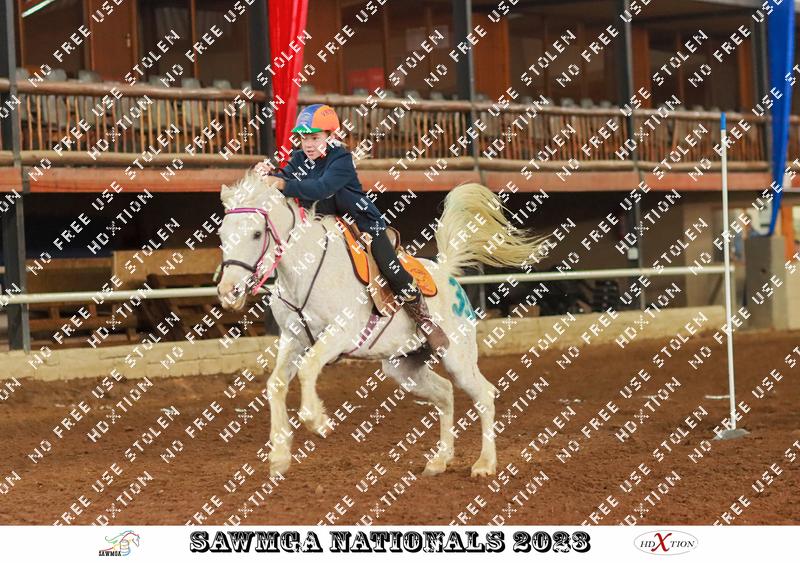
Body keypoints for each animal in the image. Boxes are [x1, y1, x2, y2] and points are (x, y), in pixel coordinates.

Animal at [216, 169, 549, 478]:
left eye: (256, 234)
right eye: (221, 234)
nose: (228, 291)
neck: (305, 269)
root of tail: (446, 273)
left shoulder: (340, 333)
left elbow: (309, 369)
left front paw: (317, 421)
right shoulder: (292, 339)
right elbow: (276, 384)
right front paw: (279, 457)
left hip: (458, 358)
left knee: (484, 395)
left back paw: (484, 464)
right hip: (404, 367)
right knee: (444, 393)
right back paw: (439, 460)